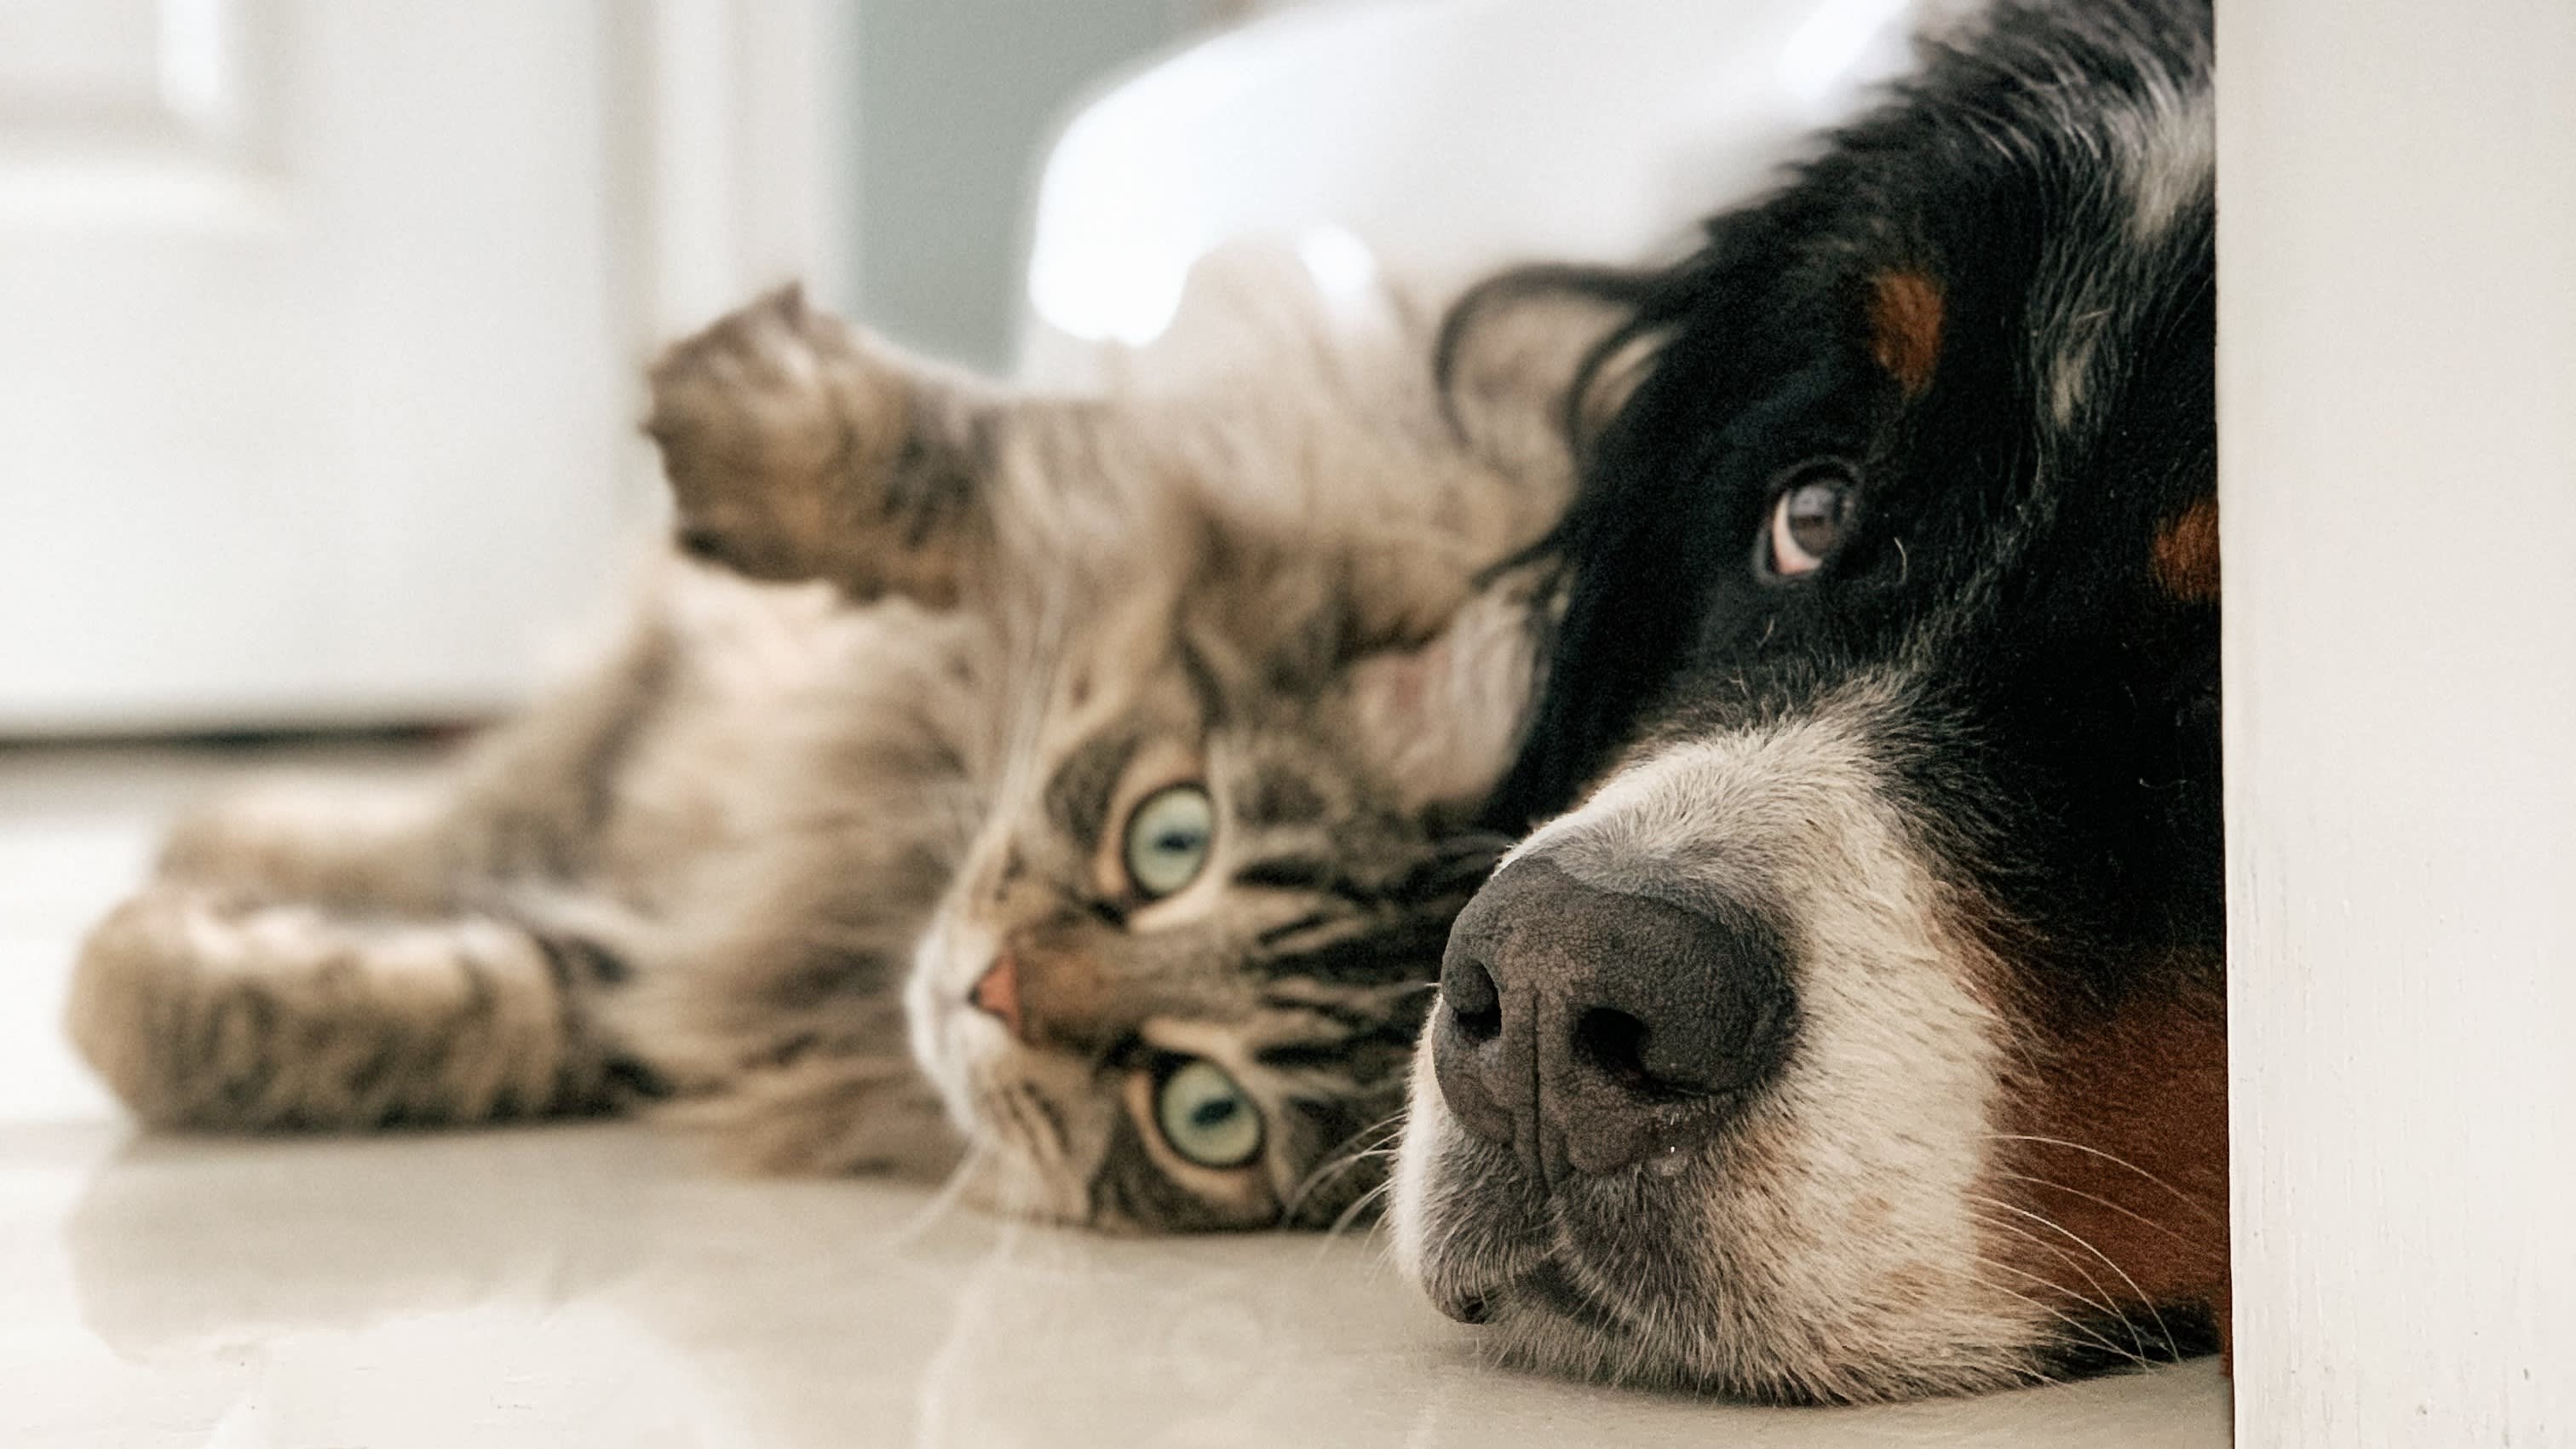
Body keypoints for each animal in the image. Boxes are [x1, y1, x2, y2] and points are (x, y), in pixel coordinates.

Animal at [65, 247, 1607, 1227]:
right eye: (1172, 840)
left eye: (1203, 1112)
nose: (991, 991)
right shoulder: (1207, 476)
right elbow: (968, 462)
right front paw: (741, 412)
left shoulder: (666, 986)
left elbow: (459, 1004)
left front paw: (123, 981)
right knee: (465, 807)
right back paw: (225, 826)